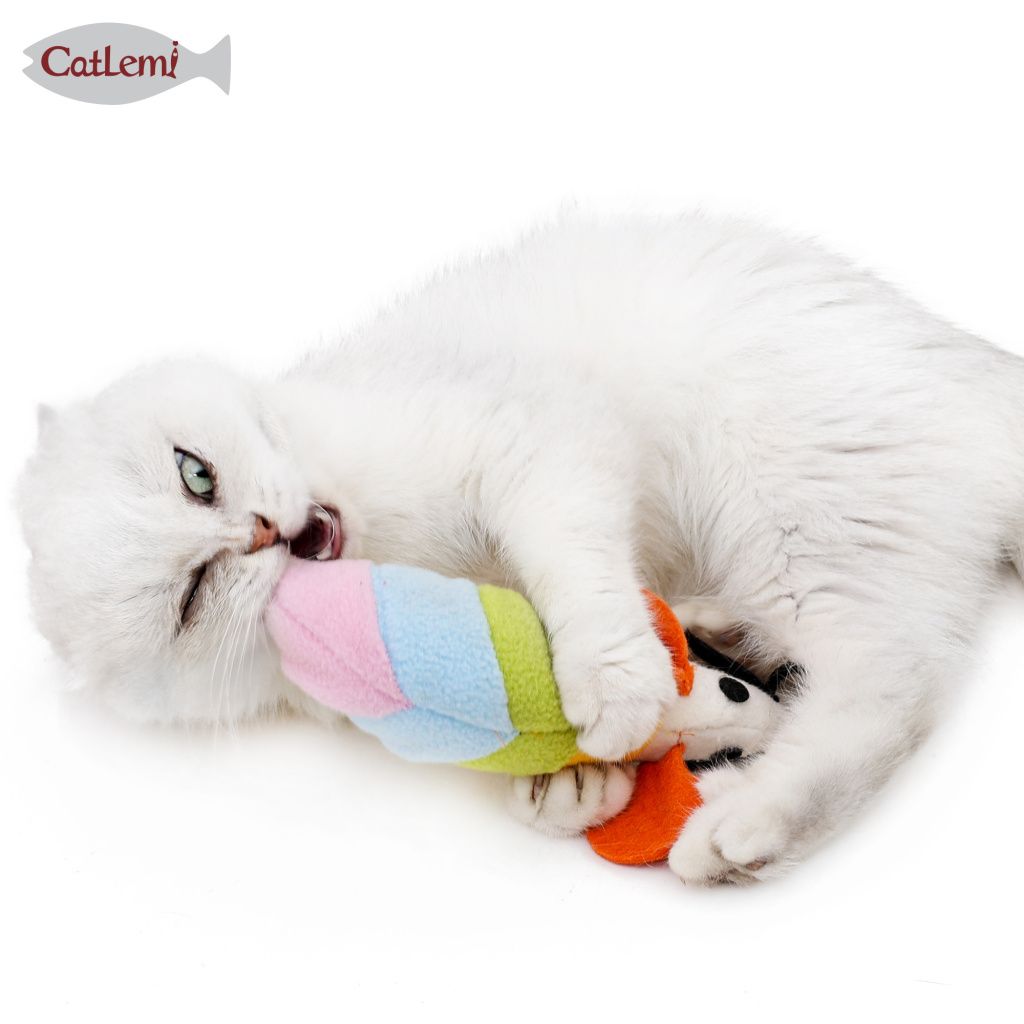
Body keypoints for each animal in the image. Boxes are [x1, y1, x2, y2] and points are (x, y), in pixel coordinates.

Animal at [17, 212, 1024, 884]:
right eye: (193, 596)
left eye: (195, 473)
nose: (261, 532)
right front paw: (577, 788)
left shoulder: (536, 442)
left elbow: (577, 571)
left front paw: (614, 685)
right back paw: (715, 639)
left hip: (790, 518)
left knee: (884, 691)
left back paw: (742, 825)